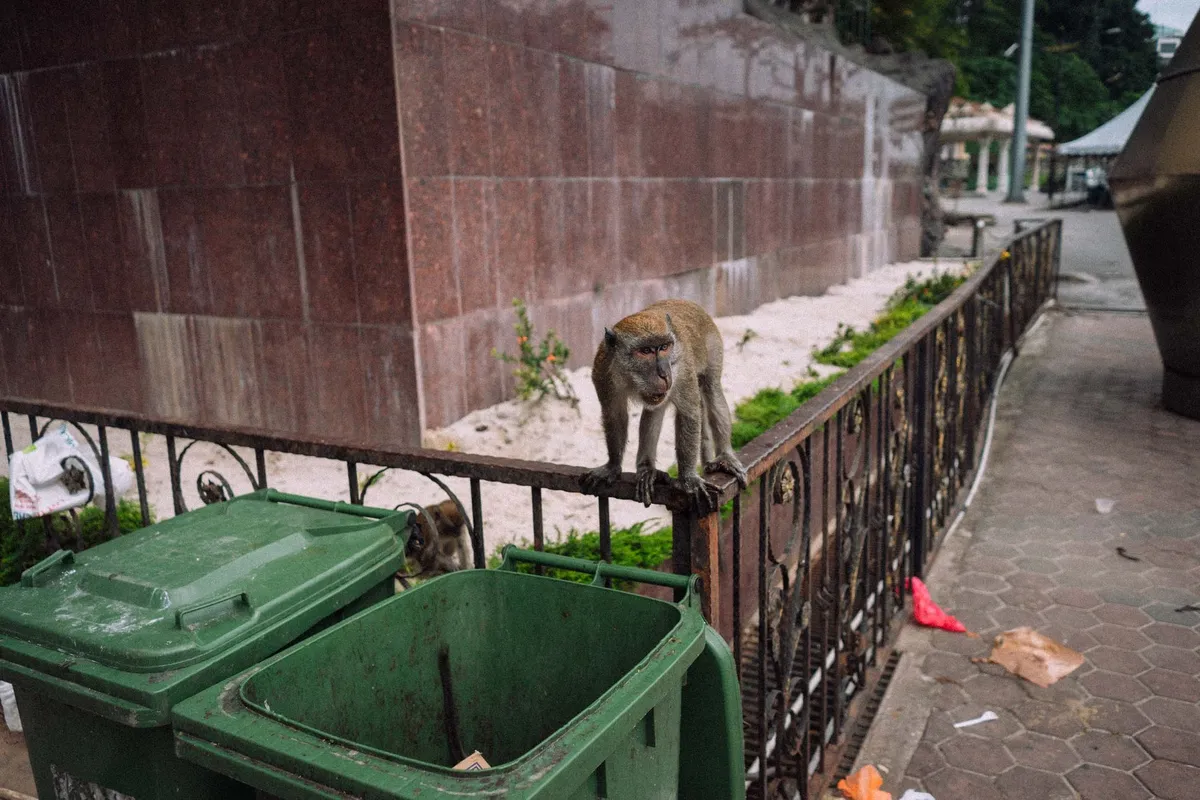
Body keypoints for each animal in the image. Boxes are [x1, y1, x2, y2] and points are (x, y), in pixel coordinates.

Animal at [580, 299, 748, 511]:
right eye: (645, 351)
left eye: (665, 347)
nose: (664, 374)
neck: (628, 375)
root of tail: (686, 302)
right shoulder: (602, 370)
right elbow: (614, 415)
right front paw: (613, 465)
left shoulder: (682, 369)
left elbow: (688, 414)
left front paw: (688, 478)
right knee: (655, 409)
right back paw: (647, 469)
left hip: (713, 346)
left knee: (712, 391)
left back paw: (725, 455)